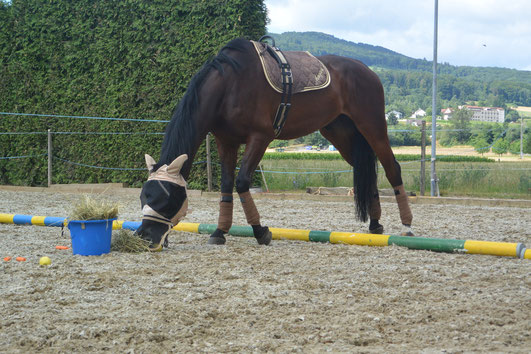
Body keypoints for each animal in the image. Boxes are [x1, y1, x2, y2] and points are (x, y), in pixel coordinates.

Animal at [135, 37, 414, 250]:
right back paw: (375, 225)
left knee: (392, 168)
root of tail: (368, 71)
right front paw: (219, 232)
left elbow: (242, 182)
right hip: (340, 133)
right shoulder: (225, 141)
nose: (145, 237)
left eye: (166, 199)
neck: (230, 85)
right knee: (367, 171)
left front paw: (261, 232)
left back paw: (407, 226)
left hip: (373, 126)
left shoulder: (260, 138)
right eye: (143, 196)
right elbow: (226, 185)